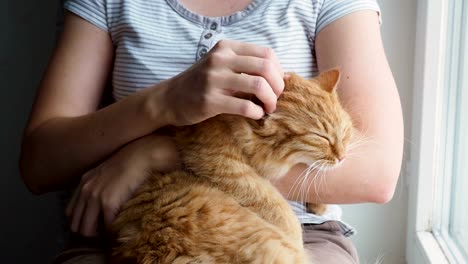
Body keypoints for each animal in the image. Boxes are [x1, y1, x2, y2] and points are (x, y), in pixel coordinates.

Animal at [109, 69, 352, 262]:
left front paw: (320, 205)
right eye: (321, 138)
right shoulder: (221, 164)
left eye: (344, 131)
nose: (342, 157)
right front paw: (295, 233)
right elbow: (275, 205)